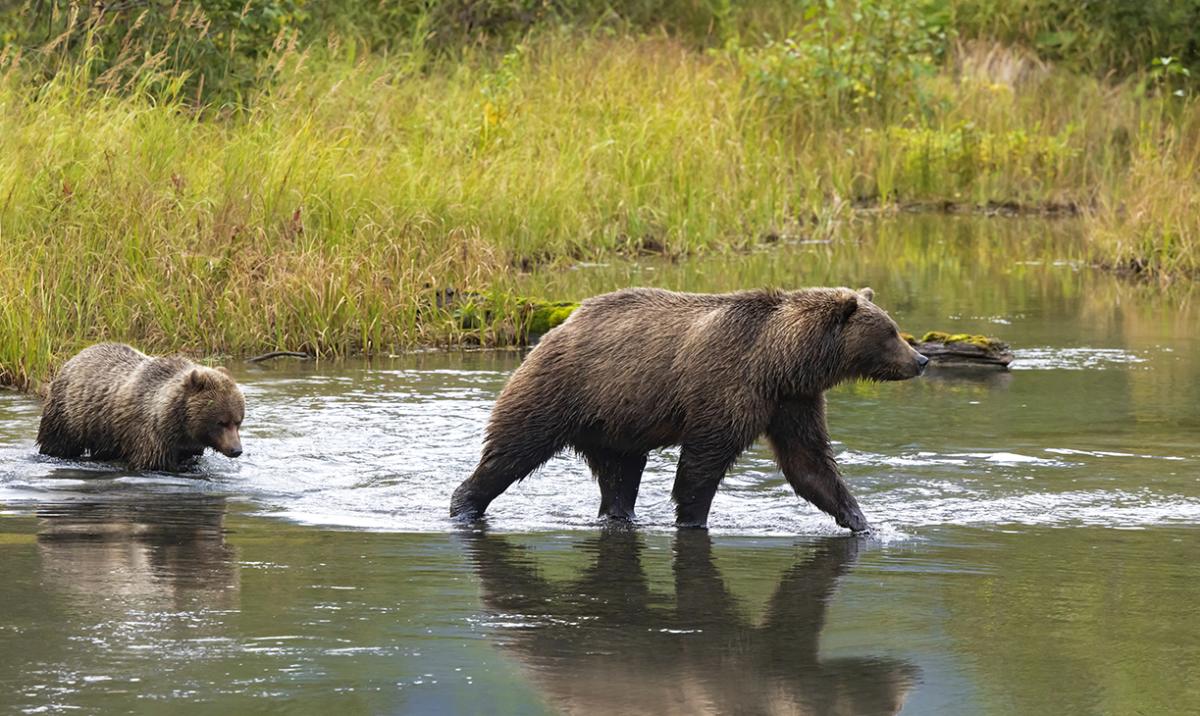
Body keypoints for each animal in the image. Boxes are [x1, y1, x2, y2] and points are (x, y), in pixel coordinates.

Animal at [36, 343, 245, 471]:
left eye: (238, 421)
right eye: (221, 422)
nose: (236, 450)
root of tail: (77, 355)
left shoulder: (189, 447)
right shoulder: (151, 436)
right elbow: (152, 463)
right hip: (68, 414)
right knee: (58, 443)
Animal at [450, 286, 928, 532]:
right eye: (891, 331)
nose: (921, 359)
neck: (782, 361)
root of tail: (558, 327)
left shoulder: (792, 401)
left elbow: (808, 462)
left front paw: (861, 520)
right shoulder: (727, 386)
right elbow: (702, 463)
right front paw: (694, 519)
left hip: (616, 425)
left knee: (620, 475)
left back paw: (620, 515)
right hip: (564, 389)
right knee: (513, 450)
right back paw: (465, 505)